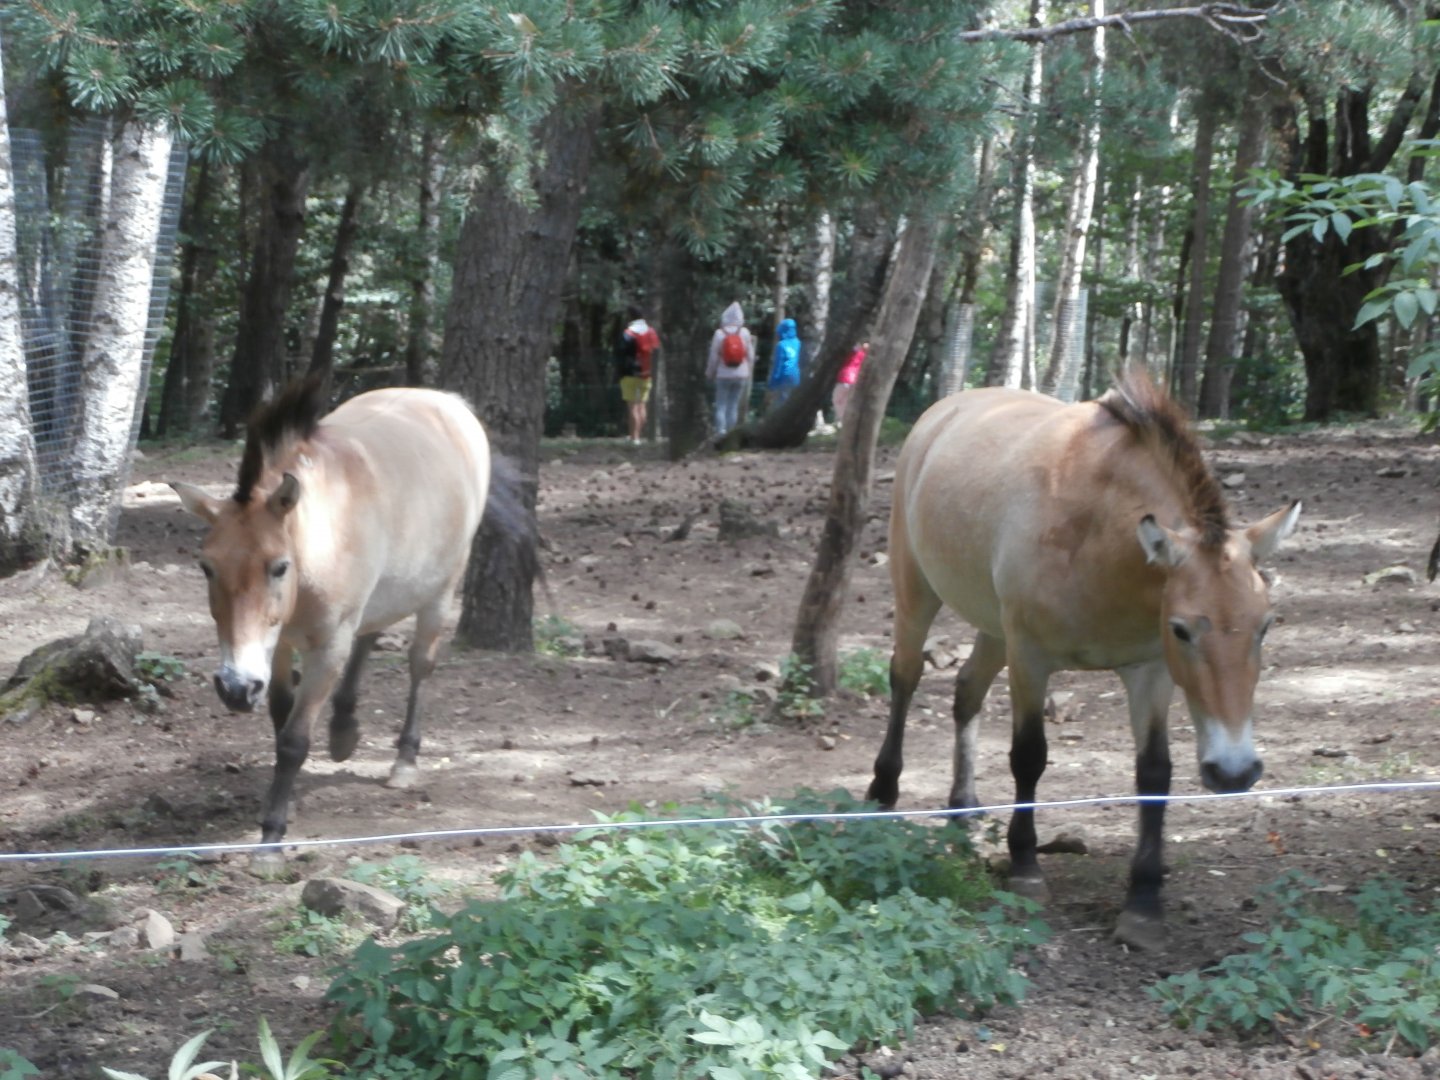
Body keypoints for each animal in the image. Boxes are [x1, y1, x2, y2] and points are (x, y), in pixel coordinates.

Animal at [172, 377, 496, 871]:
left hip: (440, 592)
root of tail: (448, 402)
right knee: (371, 635)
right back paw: (344, 729)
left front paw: (271, 839)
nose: (234, 687)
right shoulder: (279, 646)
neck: (322, 535)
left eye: (279, 567)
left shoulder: (326, 647)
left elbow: (293, 740)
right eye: (206, 567)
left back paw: (404, 761)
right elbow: (280, 716)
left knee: (420, 665)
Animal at [866, 370, 1301, 949]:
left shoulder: (1149, 672)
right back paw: (882, 791)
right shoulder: (1031, 656)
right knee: (906, 676)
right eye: (1181, 630)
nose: (1234, 770)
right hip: (918, 591)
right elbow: (1029, 756)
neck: (1096, 531)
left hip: (993, 628)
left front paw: (1144, 903)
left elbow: (1154, 772)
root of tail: (945, 411)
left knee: (967, 691)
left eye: (1265, 625)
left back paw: (963, 804)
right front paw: (1025, 867)